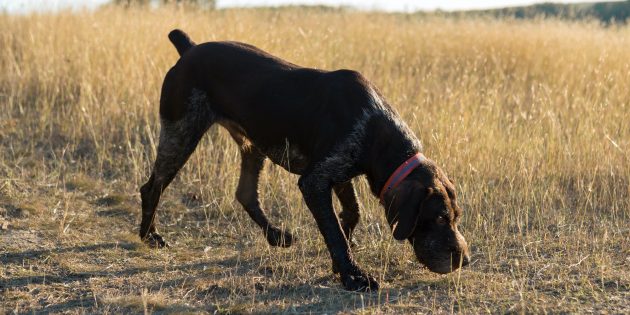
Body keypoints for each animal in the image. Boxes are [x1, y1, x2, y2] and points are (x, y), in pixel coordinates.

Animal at [141, 29, 472, 292]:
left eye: (456, 217)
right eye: (439, 217)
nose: (465, 259)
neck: (376, 128)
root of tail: (189, 48)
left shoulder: (339, 172)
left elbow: (350, 215)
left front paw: (344, 255)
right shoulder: (315, 180)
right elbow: (335, 231)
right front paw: (353, 276)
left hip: (252, 146)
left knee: (245, 193)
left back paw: (275, 236)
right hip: (181, 131)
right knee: (152, 187)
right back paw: (149, 235)